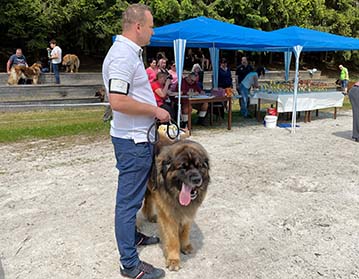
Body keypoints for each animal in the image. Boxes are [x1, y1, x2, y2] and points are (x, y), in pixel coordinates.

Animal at [143, 141, 211, 272]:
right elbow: (172, 238)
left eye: (199, 166)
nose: (197, 179)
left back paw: (150, 216)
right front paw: (173, 260)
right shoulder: (167, 215)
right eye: (183, 167)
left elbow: (185, 231)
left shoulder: (188, 212)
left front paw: (185, 246)